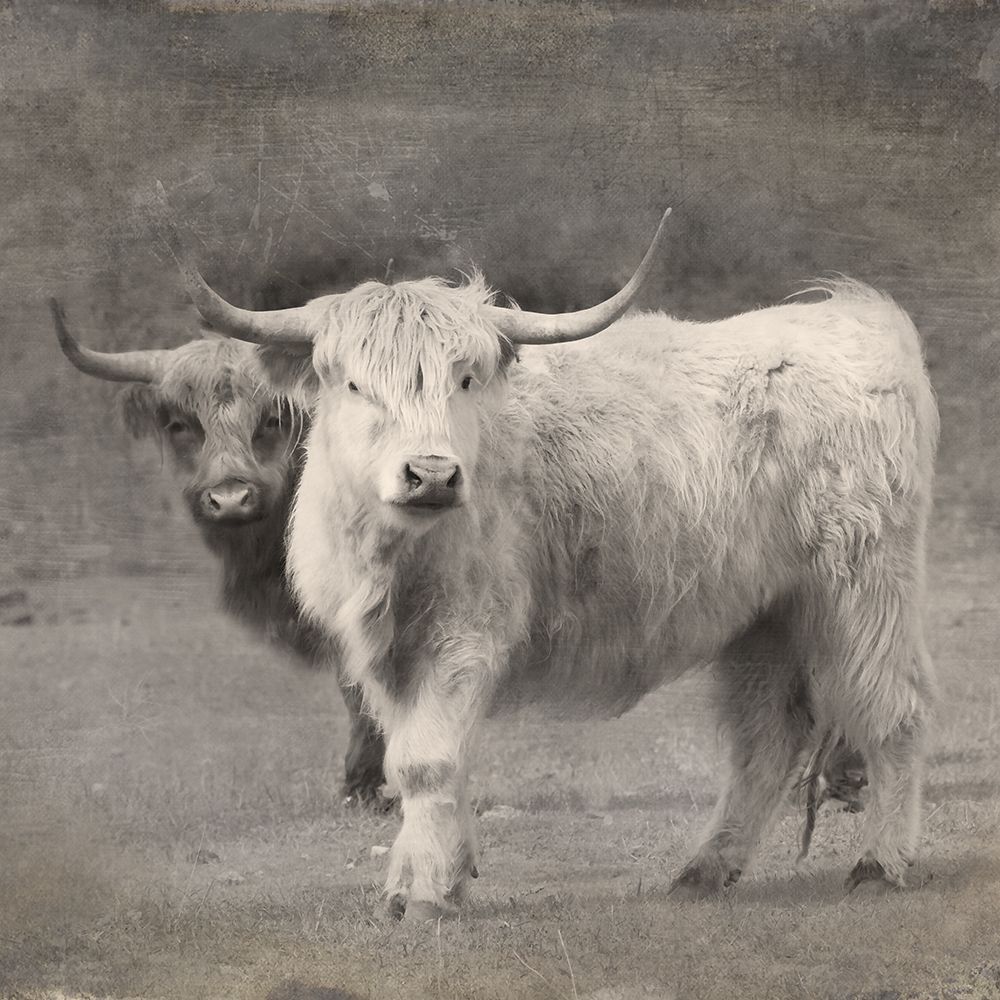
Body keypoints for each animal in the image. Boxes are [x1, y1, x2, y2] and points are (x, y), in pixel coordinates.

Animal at [158, 195, 937, 920]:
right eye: (353, 384)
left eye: (465, 379)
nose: (432, 475)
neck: (394, 553)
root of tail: (852, 319)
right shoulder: (384, 654)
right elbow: (409, 760)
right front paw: (425, 879)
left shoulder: (464, 636)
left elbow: (428, 761)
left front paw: (427, 897)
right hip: (763, 613)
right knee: (768, 735)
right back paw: (704, 870)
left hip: (864, 588)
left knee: (892, 711)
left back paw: (878, 864)